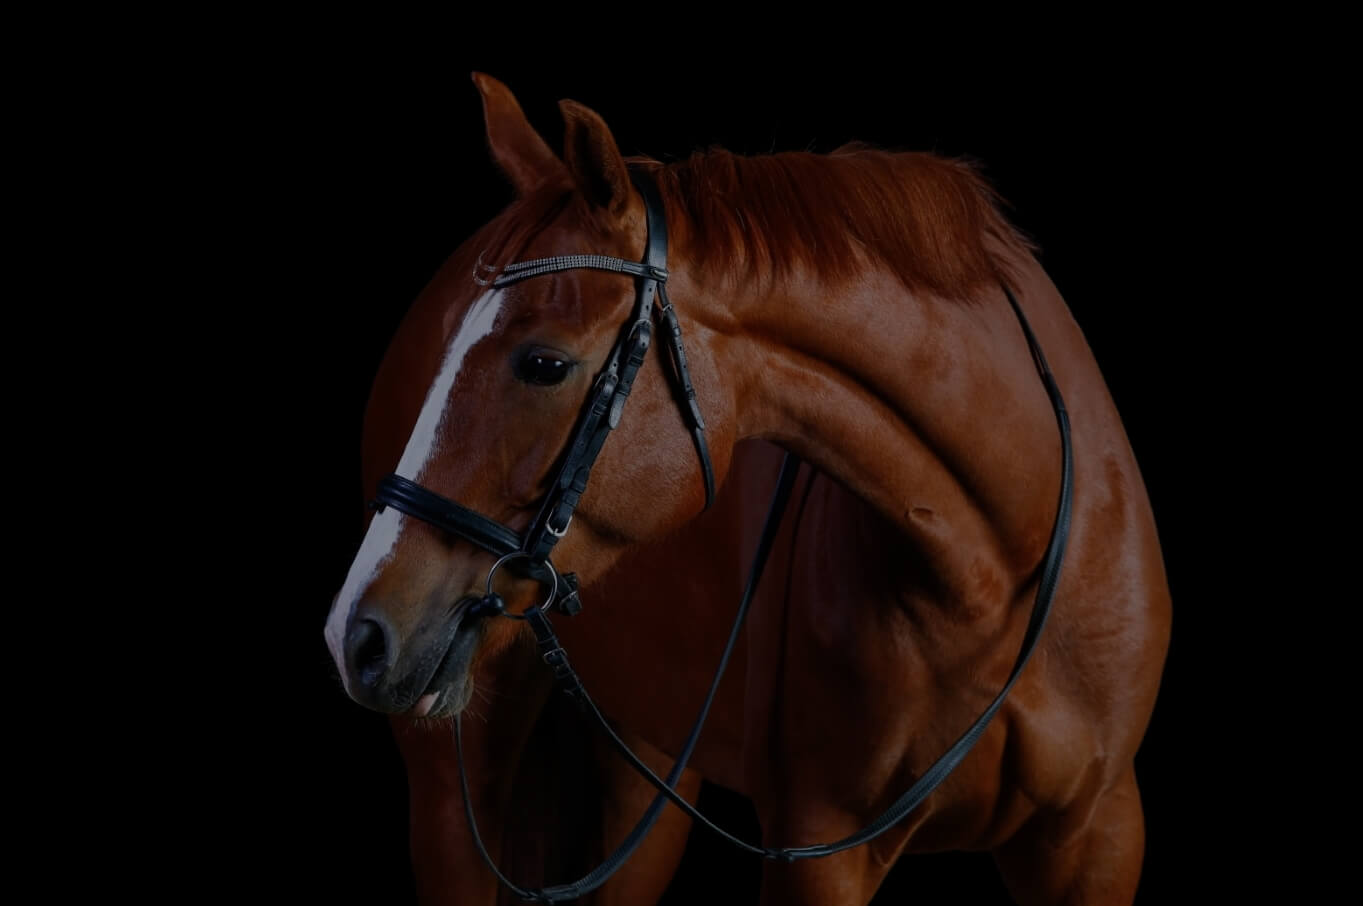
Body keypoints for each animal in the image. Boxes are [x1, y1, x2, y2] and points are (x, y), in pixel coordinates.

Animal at [324, 73, 1172, 905]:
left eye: (544, 364)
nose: (356, 635)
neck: (993, 569)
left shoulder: (1096, 834)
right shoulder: (819, 843)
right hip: (453, 793)